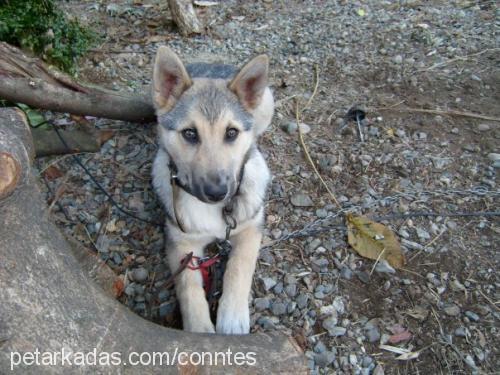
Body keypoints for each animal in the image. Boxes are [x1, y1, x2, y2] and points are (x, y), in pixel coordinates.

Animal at [150, 47, 274, 334]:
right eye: (189, 133)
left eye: (231, 133)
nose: (217, 192)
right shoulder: (180, 242)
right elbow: (188, 287)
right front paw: (200, 330)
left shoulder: (251, 227)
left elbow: (240, 266)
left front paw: (232, 317)